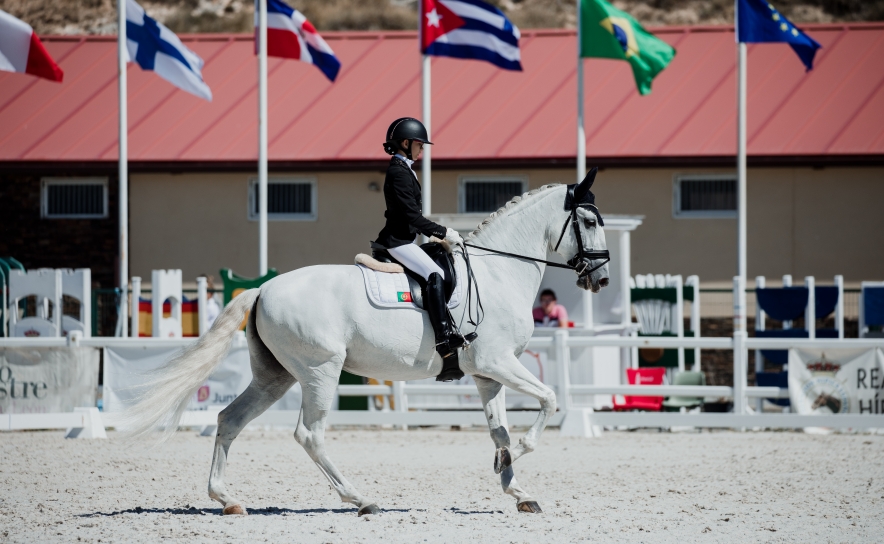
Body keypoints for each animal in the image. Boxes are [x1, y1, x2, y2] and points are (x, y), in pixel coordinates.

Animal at [122, 176, 608, 516]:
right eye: (588, 222)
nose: (600, 279)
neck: (497, 273)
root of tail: (263, 289)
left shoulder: (488, 374)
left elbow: (499, 429)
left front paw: (516, 486)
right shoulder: (498, 362)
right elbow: (549, 400)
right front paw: (515, 456)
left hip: (275, 377)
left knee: (229, 420)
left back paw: (227, 499)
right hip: (320, 370)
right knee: (309, 434)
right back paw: (360, 499)